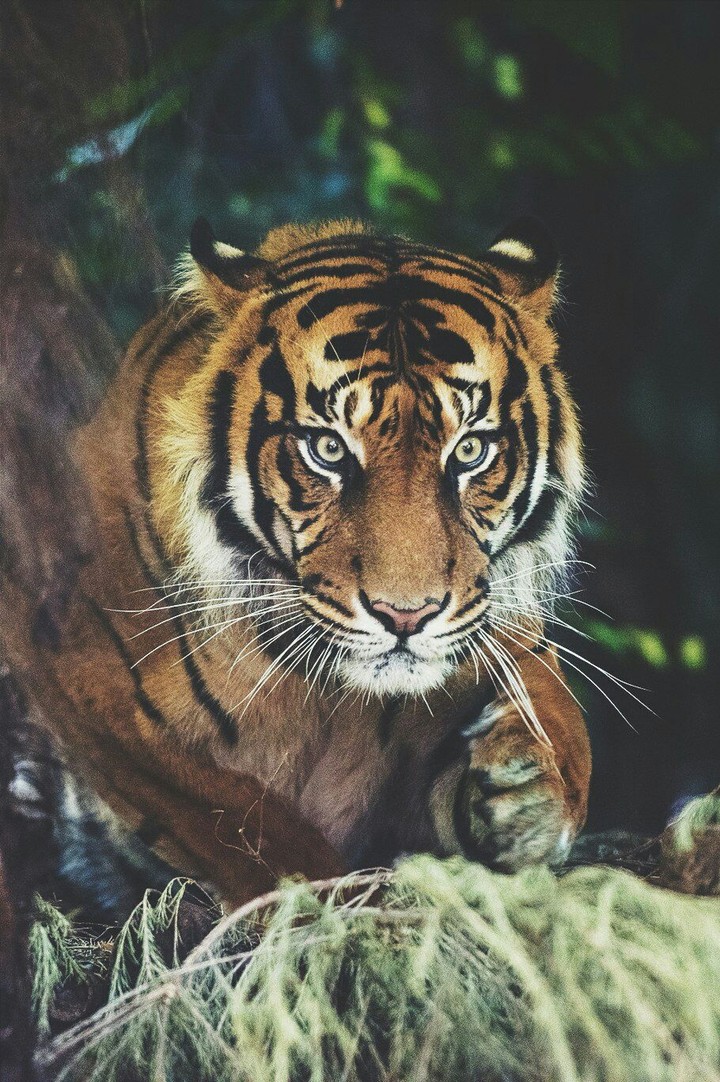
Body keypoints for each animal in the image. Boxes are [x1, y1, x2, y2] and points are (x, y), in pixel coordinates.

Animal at [0, 216, 591, 913]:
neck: (335, 699)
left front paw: (525, 792)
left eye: (470, 450)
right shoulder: (93, 685)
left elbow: (561, 725)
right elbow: (248, 826)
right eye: (328, 449)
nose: (406, 616)